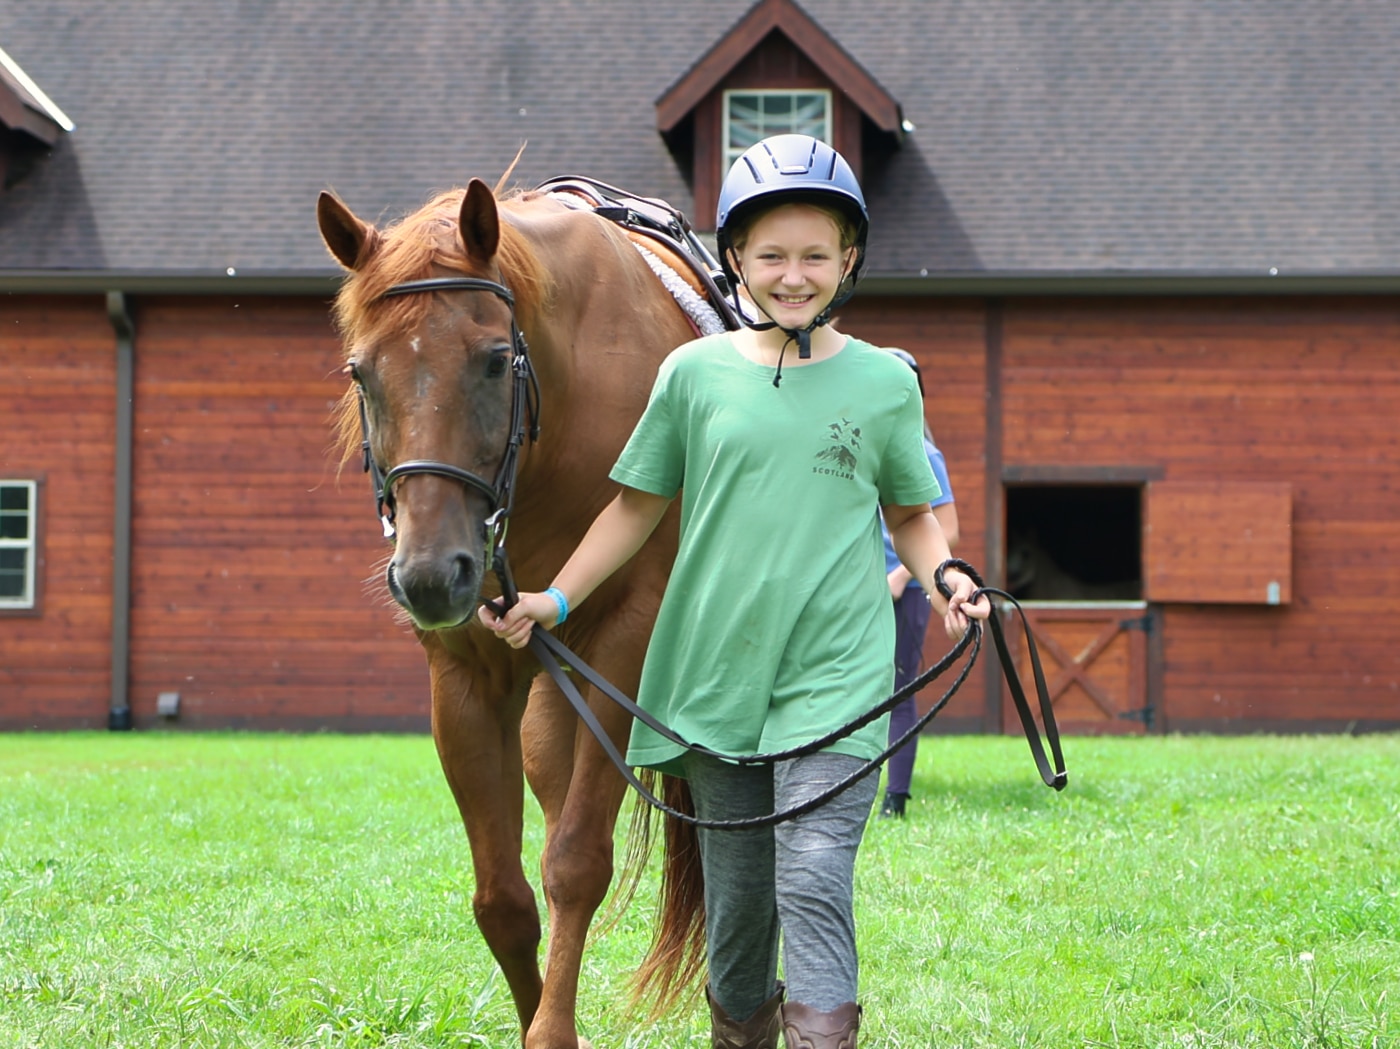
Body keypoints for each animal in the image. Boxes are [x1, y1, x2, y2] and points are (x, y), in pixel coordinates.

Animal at [317, 177, 708, 1048]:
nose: (431, 574)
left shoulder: (623, 641)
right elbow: (502, 898)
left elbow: (576, 862)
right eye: (362, 372)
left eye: (496, 361)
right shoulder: (466, 678)